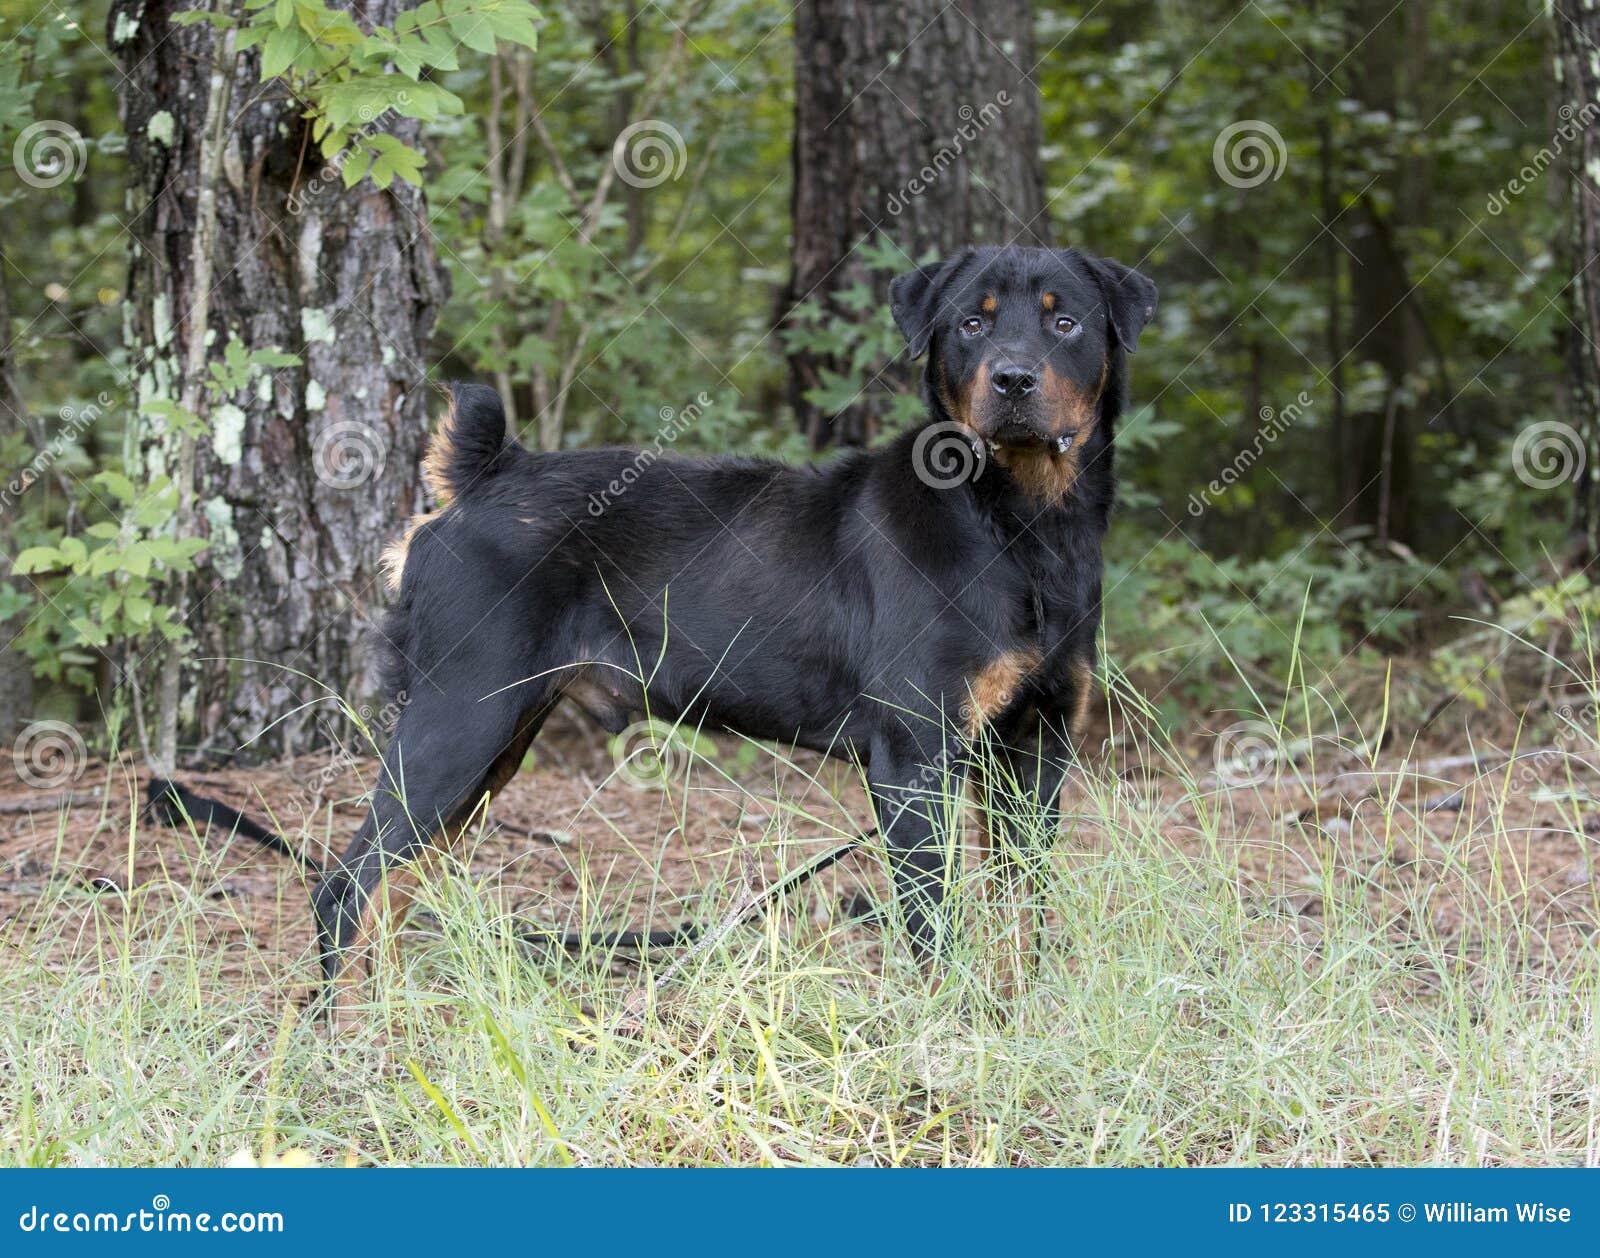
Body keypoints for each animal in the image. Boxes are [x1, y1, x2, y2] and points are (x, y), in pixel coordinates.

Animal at [312, 243, 1158, 992]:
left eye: (1066, 323)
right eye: (971, 325)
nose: (1012, 378)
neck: (1022, 524)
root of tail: (479, 477)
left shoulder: (1034, 746)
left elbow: (1022, 911)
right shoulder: (915, 756)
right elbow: (933, 926)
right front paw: (950, 1025)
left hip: (494, 741)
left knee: (392, 890)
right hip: (458, 718)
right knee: (346, 887)